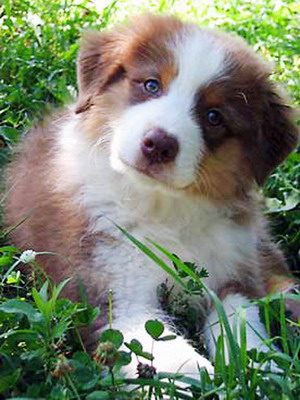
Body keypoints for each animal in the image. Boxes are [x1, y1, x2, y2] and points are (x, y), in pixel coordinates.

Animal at [5, 14, 298, 376]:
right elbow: (169, 358)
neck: (162, 206)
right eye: (151, 86)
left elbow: (241, 320)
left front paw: (263, 368)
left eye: (214, 117)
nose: (159, 145)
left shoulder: (232, 268)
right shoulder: (115, 290)